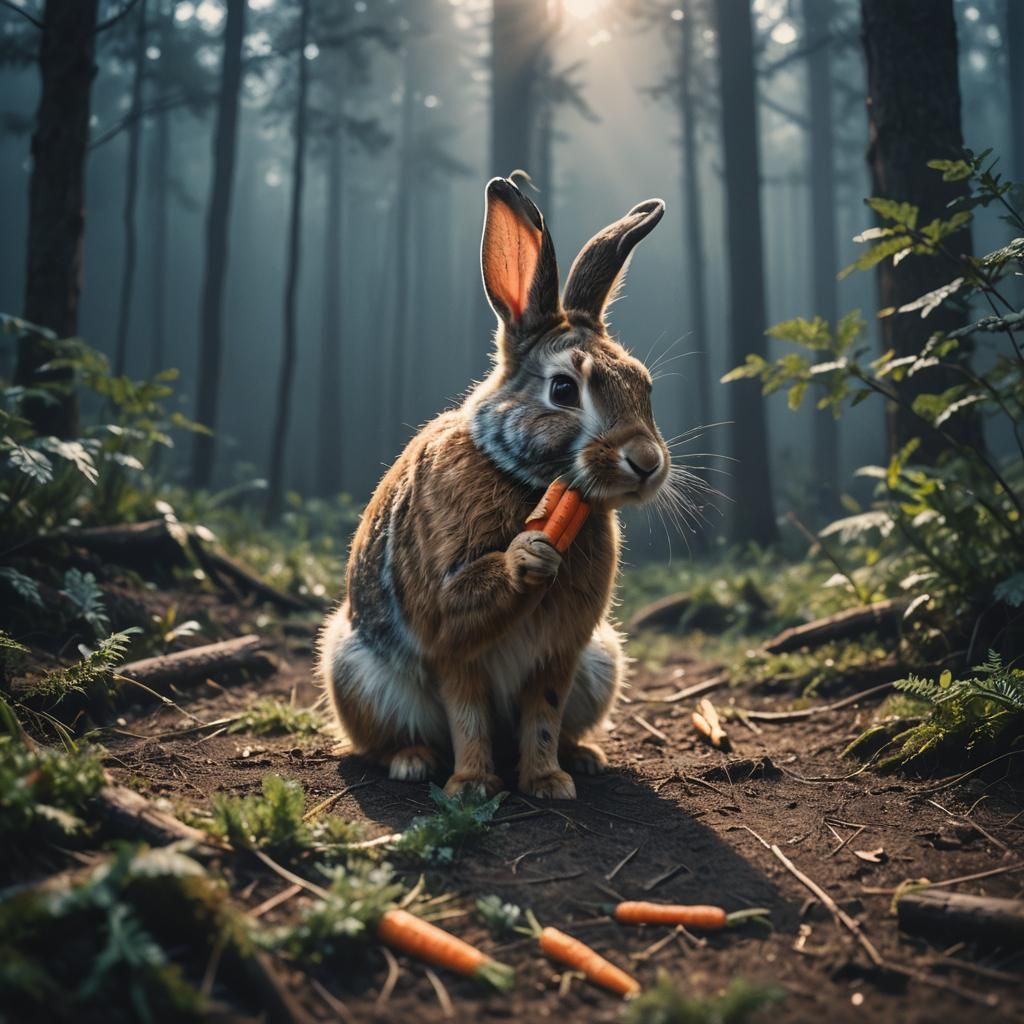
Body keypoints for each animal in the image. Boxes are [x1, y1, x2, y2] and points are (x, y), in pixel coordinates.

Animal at [317, 176, 670, 800]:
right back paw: (413, 761)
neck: (525, 480)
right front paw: (472, 786)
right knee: (381, 740)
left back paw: (584, 757)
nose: (648, 463)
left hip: (602, 660)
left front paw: (548, 782)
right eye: (563, 389)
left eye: (643, 385)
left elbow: (543, 714)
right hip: (353, 671)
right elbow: (468, 714)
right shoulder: (450, 639)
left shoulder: (560, 652)